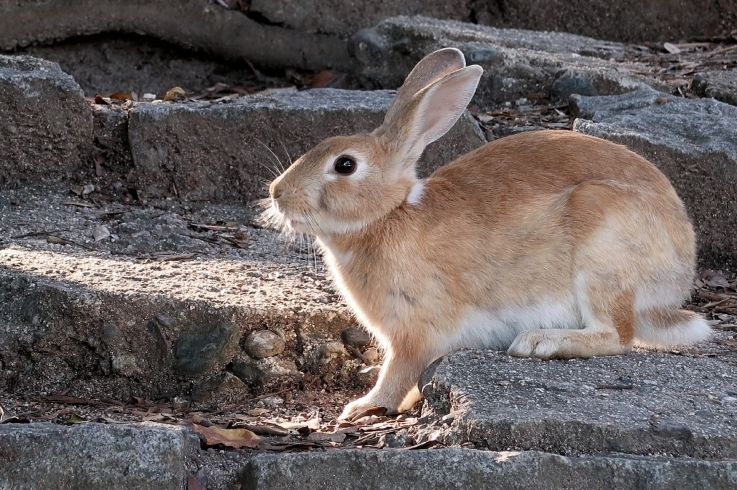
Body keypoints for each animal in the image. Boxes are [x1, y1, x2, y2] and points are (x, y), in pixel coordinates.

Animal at [264, 47, 708, 420]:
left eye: (345, 165)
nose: (277, 193)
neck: (388, 214)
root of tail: (677, 275)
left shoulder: (416, 332)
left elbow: (397, 372)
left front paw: (361, 408)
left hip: (601, 245)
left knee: (617, 335)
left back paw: (539, 342)